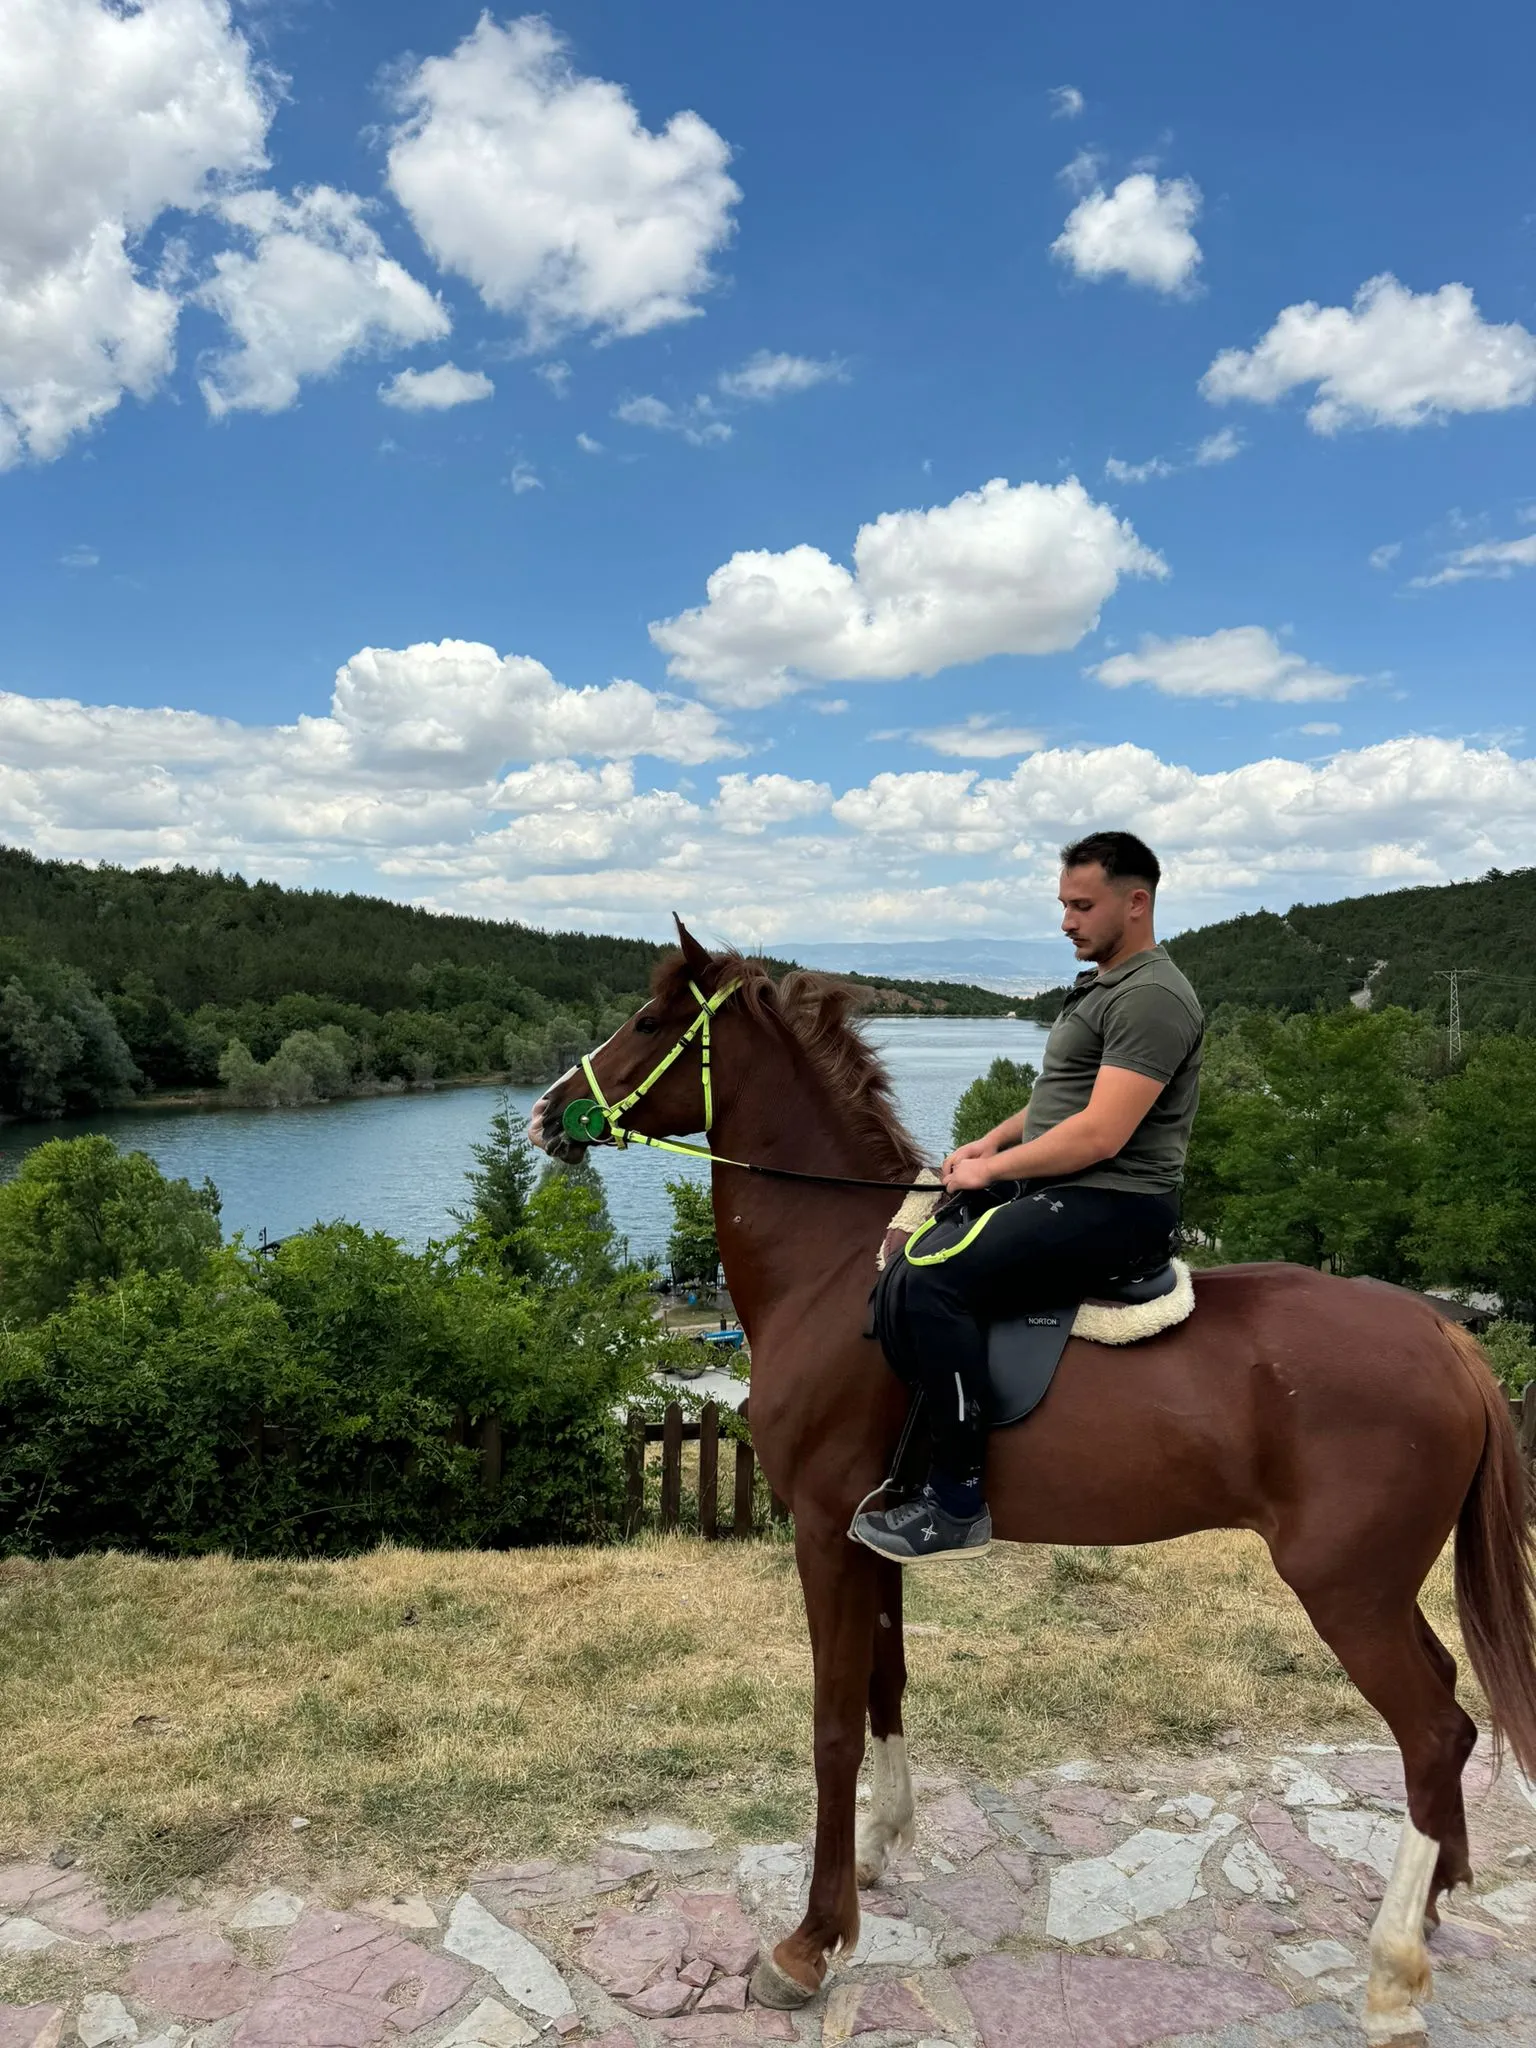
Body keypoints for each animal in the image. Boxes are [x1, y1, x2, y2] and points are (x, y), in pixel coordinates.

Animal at [532, 933, 1536, 2048]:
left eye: (650, 1022)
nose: (547, 1111)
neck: (831, 1272)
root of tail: (1443, 1335)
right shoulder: (878, 1536)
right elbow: (886, 1688)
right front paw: (878, 1851)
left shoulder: (825, 1535)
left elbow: (832, 1726)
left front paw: (809, 1942)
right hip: (1382, 1583)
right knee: (1446, 1703)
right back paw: (1437, 1897)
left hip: (1345, 1587)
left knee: (1435, 1730)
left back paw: (1393, 1969)